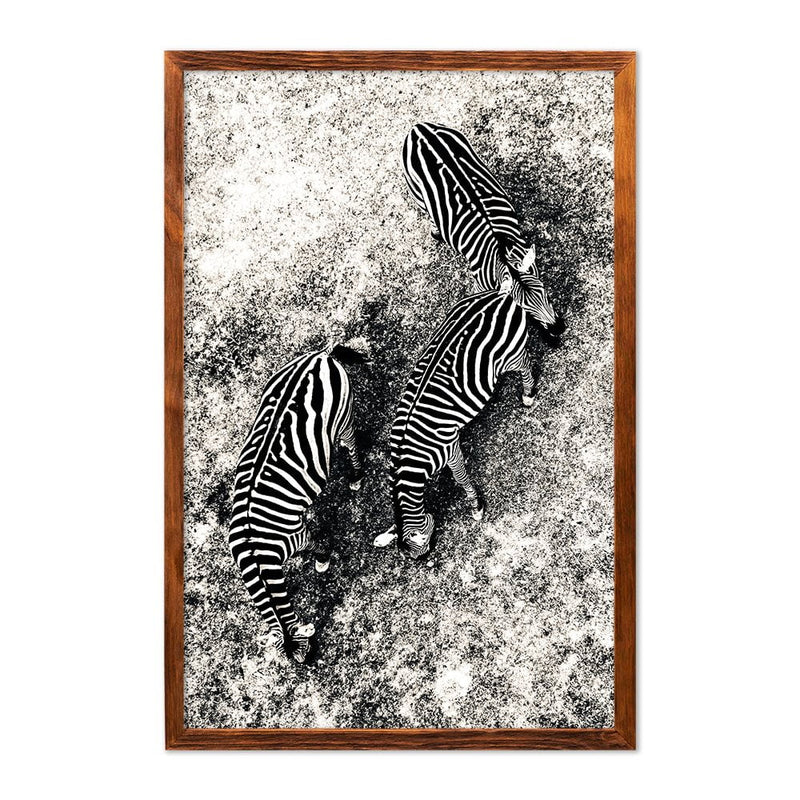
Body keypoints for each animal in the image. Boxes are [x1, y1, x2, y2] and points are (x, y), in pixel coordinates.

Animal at [228, 344, 367, 663]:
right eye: (296, 659)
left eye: (306, 652)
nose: (311, 666)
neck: (257, 555)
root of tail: (320, 356)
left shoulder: (296, 534)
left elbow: (315, 543)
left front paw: (322, 560)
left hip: (343, 416)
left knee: (351, 443)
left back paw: (356, 477)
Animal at [374, 283, 560, 557]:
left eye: (421, 551)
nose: (428, 560)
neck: (411, 460)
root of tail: (500, 293)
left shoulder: (450, 448)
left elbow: (461, 479)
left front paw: (476, 506)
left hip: (509, 356)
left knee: (525, 365)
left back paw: (528, 394)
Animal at [402, 121, 565, 346]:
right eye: (524, 309)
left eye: (546, 293)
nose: (559, 328)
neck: (501, 254)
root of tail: (419, 128)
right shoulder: (482, 285)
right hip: (417, 194)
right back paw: (436, 232)